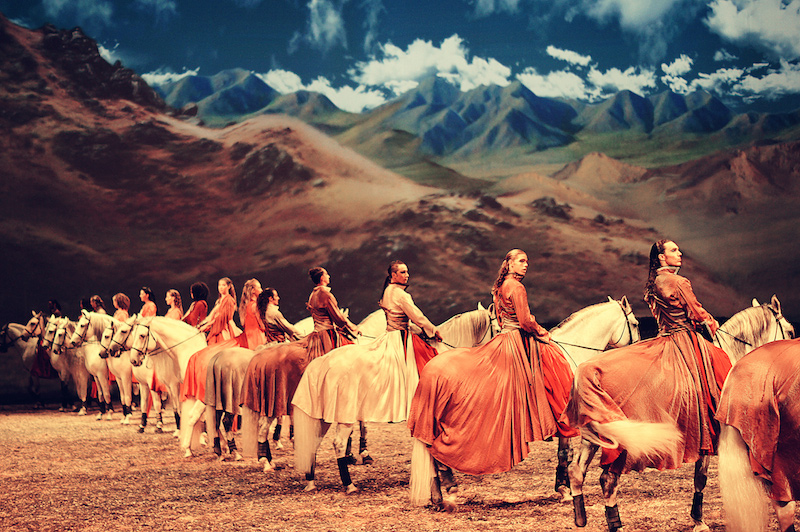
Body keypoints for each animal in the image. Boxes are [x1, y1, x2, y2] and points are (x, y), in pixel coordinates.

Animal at [290, 308, 496, 494]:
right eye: (496, 326)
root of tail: (322, 362)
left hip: (322, 417)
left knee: (312, 442)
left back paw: (311, 481)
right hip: (344, 416)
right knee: (338, 444)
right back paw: (349, 485)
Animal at [410, 298, 640, 510]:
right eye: (636, 323)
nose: (635, 351)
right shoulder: (566, 423)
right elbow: (565, 454)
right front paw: (565, 490)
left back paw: (438, 497)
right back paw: (448, 493)